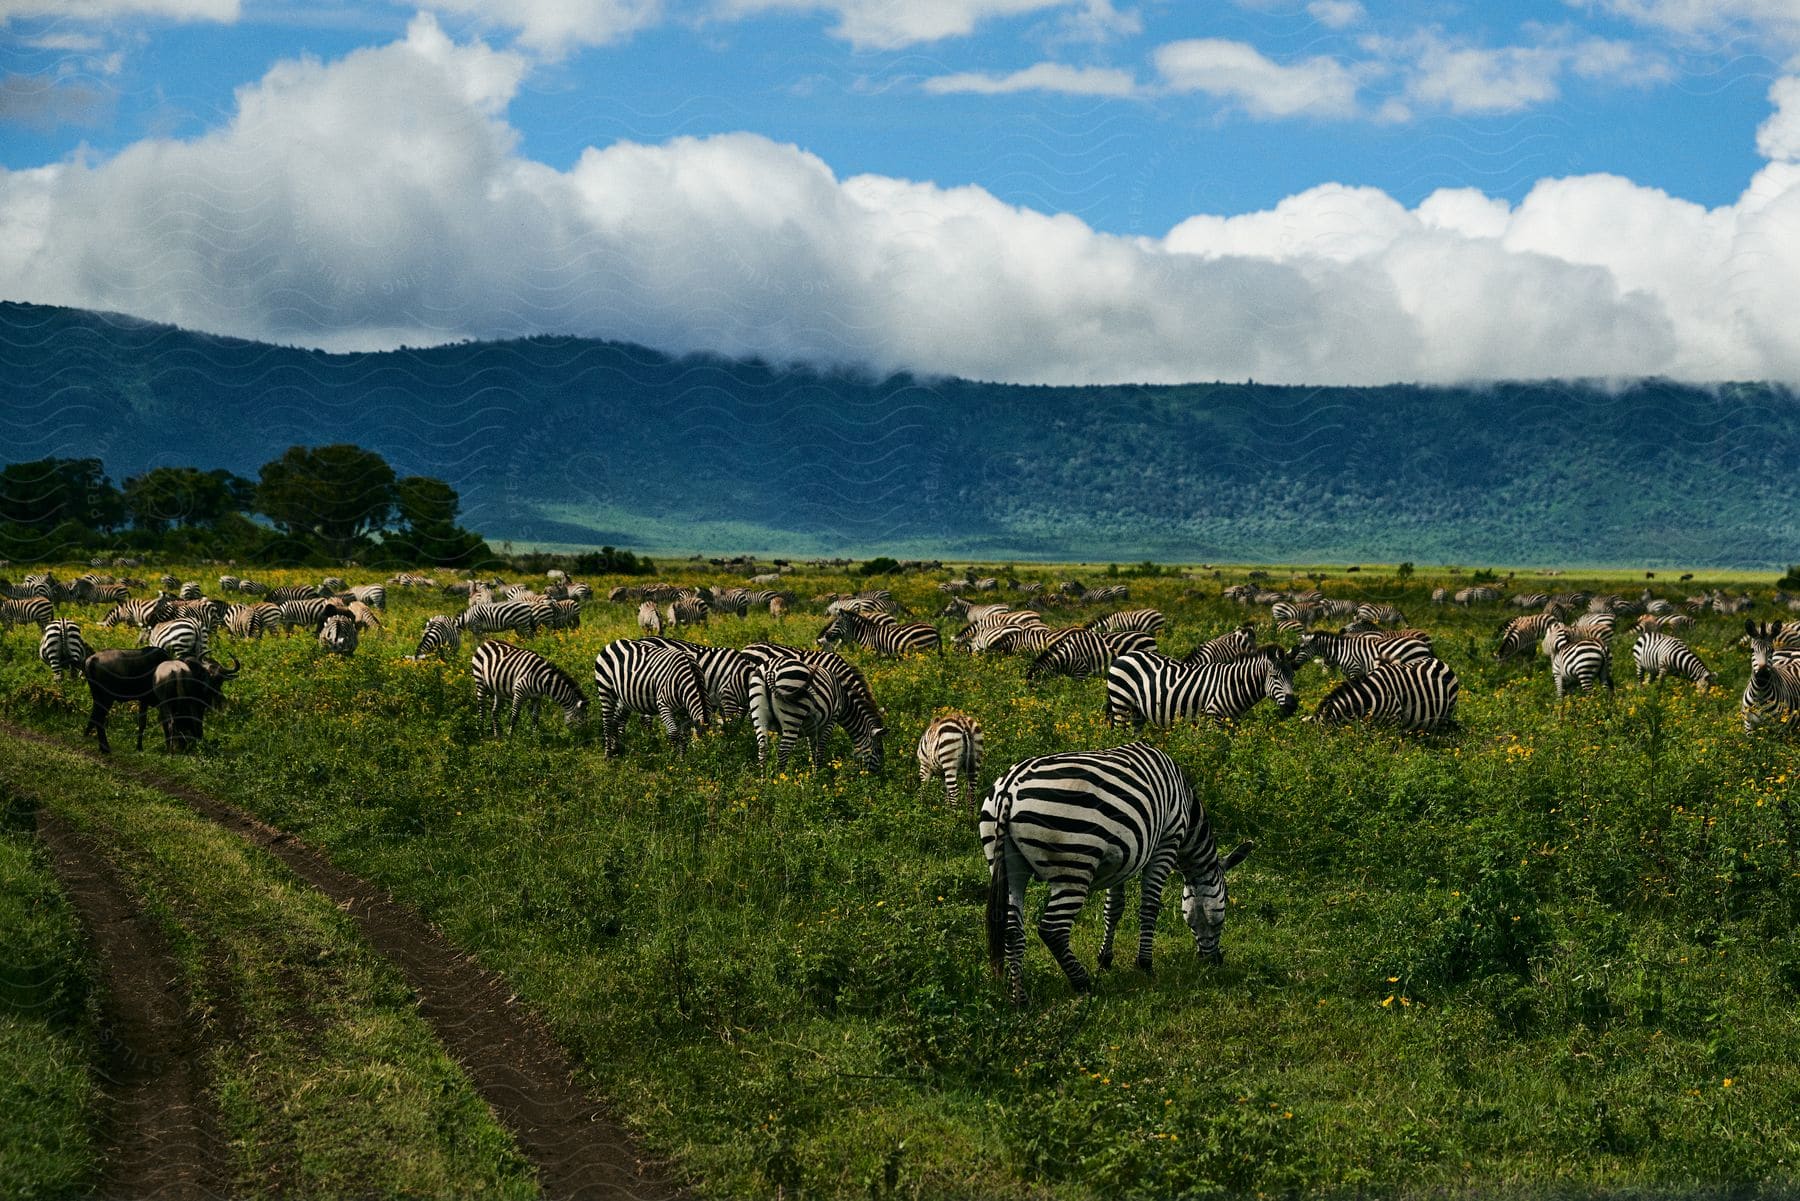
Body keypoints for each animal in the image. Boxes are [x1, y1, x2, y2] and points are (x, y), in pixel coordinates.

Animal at [986, 741, 1252, 1008]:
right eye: (1223, 914)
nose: (1215, 962)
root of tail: (1009, 788)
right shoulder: (1166, 841)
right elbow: (1149, 906)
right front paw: (1145, 964)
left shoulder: (1121, 858)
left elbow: (1113, 908)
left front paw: (1105, 959)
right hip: (1073, 865)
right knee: (1052, 930)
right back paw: (1083, 983)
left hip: (1010, 869)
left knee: (1012, 929)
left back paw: (1020, 999)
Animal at [1101, 644, 1303, 727]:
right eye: (1274, 676)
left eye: (1293, 676)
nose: (1292, 705)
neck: (1233, 685)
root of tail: (1124, 655)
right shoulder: (1215, 716)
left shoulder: (1231, 721)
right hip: (1121, 703)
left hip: (1137, 711)